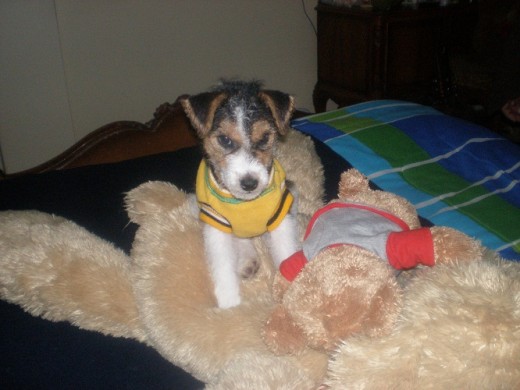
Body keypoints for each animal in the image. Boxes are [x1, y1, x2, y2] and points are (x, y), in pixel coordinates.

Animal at [181, 81, 298, 308]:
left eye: (265, 138)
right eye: (225, 140)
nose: (250, 183)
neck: (244, 203)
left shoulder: (280, 216)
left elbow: (286, 252)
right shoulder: (216, 225)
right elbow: (223, 267)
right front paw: (230, 305)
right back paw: (247, 261)